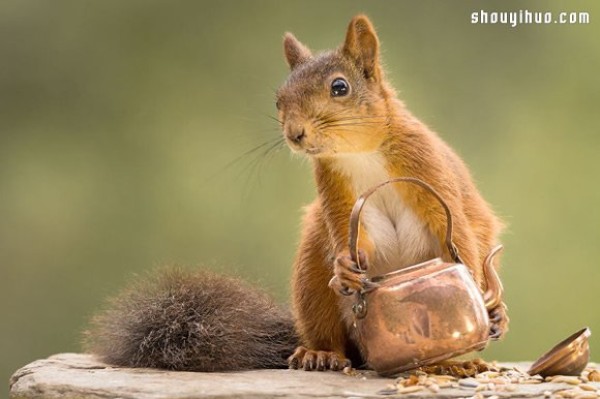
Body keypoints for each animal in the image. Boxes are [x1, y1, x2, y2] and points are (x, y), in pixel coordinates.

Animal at [83, 14, 506, 372]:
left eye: (340, 87)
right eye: (278, 100)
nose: (294, 133)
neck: (360, 153)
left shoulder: (429, 170)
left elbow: (458, 233)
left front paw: (476, 290)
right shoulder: (335, 193)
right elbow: (350, 237)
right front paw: (345, 266)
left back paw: (460, 355)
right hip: (312, 276)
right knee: (329, 331)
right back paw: (320, 353)